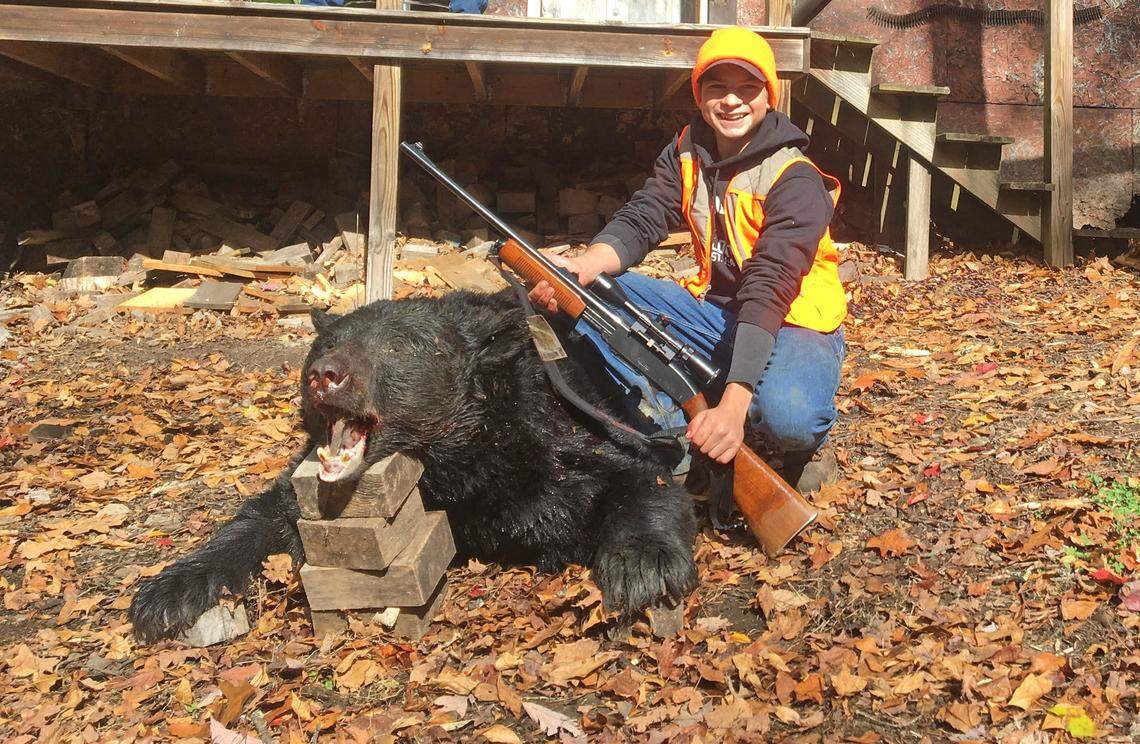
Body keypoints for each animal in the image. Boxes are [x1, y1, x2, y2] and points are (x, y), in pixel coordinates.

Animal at [129, 289, 698, 642]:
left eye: (400, 347)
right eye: (328, 342)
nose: (324, 375)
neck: (452, 462)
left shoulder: (556, 434)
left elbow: (638, 474)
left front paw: (642, 567)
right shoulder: (311, 482)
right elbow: (267, 514)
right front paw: (167, 594)